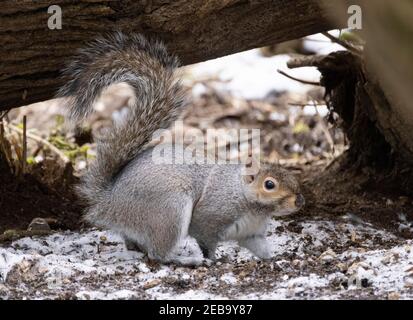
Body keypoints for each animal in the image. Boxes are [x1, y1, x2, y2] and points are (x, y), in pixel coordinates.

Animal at [58, 31, 302, 264]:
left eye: (291, 175)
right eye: (269, 184)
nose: (299, 201)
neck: (250, 203)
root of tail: (108, 201)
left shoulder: (252, 234)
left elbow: (261, 249)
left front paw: (275, 258)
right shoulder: (209, 218)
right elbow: (206, 241)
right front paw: (214, 260)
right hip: (170, 210)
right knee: (158, 254)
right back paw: (185, 260)